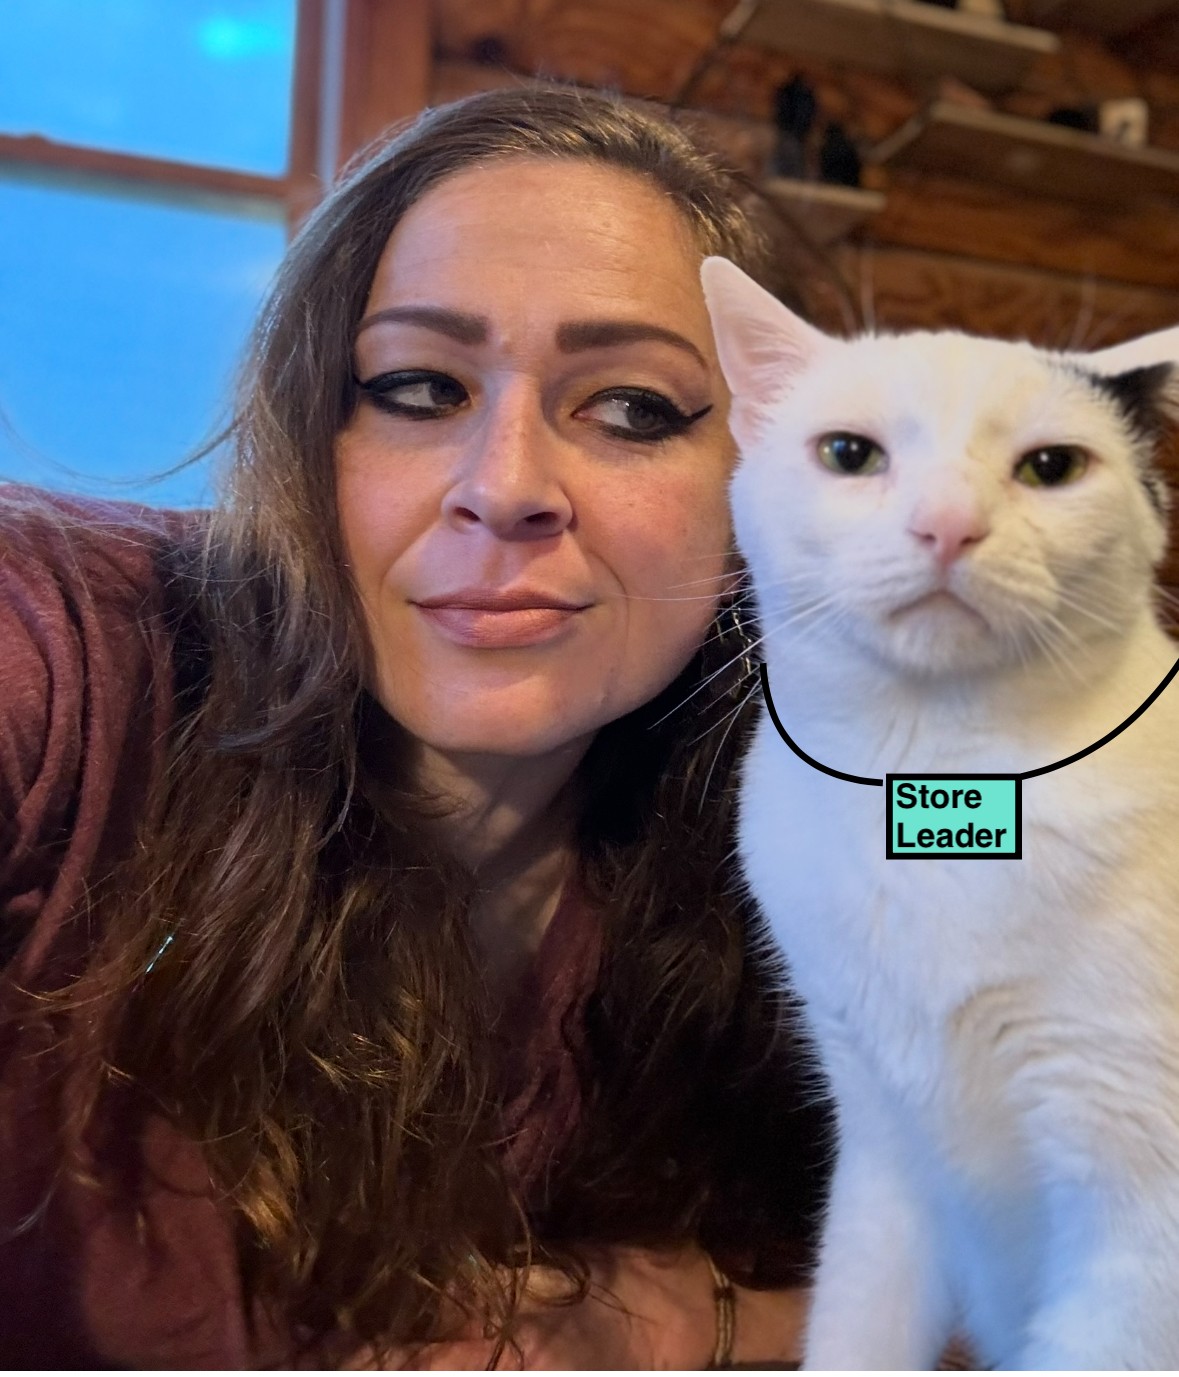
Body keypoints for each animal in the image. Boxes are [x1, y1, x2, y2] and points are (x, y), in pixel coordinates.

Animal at [701, 254, 1179, 1370]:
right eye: (849, 454)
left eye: (1050, 468)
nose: (948, 525)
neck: (928, 783)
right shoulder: (883, 1150)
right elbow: (856, 1325)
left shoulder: (1141, 1227)